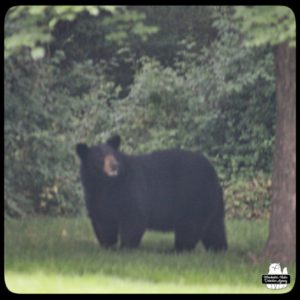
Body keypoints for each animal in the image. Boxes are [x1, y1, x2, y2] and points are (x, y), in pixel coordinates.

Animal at [75, 135, 227, 251]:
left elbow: (134, 216)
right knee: (214, 227)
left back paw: (177, 249)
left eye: (113, 155)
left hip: (193, 196)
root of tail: (213, 171)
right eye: (99, 157)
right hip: (211, 200)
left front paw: (126, 247)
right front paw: (108, 245)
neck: (106, 184)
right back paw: (218, 248)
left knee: (190, 226)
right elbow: (103, 220)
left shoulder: (129, 188)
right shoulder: (95, 196)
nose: (114, 166)